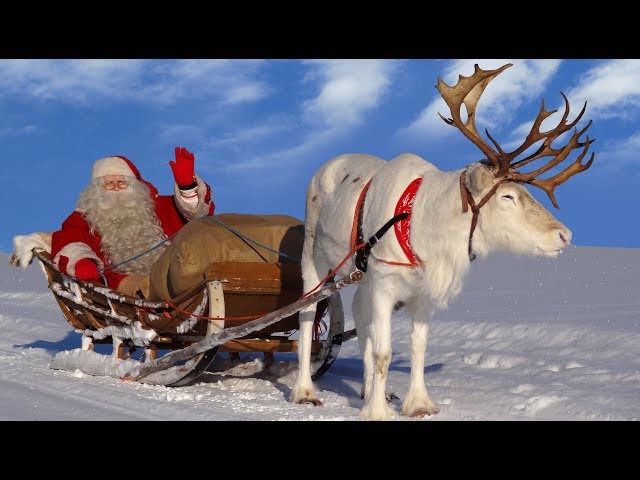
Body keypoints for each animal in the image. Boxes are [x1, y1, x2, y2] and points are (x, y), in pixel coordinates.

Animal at [289, 63, 595, 420]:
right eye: (506, 196)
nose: (564, 235)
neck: (428, 227)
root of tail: (323, 167)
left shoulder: (422, 292)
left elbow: (417, 347)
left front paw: (418, 403)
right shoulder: (384, 283)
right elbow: (383, 351)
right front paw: (378, 411)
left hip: (361, 276)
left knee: (360, 317)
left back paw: (368, 389)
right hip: (314, 258)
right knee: (308, 313)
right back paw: (305, 390)